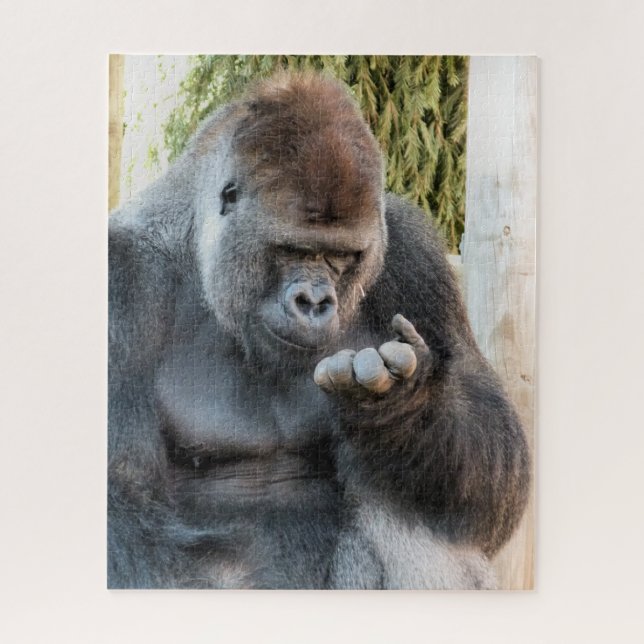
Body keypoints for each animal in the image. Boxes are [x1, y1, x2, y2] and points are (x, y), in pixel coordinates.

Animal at [108, 71, 530, 589]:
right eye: (293, 250)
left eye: (341, 256)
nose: (314, 303)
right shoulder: (121, 280)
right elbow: (125, 514)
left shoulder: (415, 254)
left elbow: (494, 484)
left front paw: (399, 408)